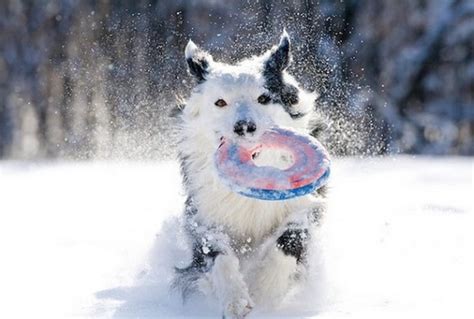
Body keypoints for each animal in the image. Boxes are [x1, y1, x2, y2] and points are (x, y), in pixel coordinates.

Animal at [175, 31, 330, 318]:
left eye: (263, 98)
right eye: (220, 102)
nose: (244, 127)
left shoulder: (304, 203)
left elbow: (289, 241)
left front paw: (265, 290)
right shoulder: (205, 216)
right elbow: (219, 255)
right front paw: (236, 301)